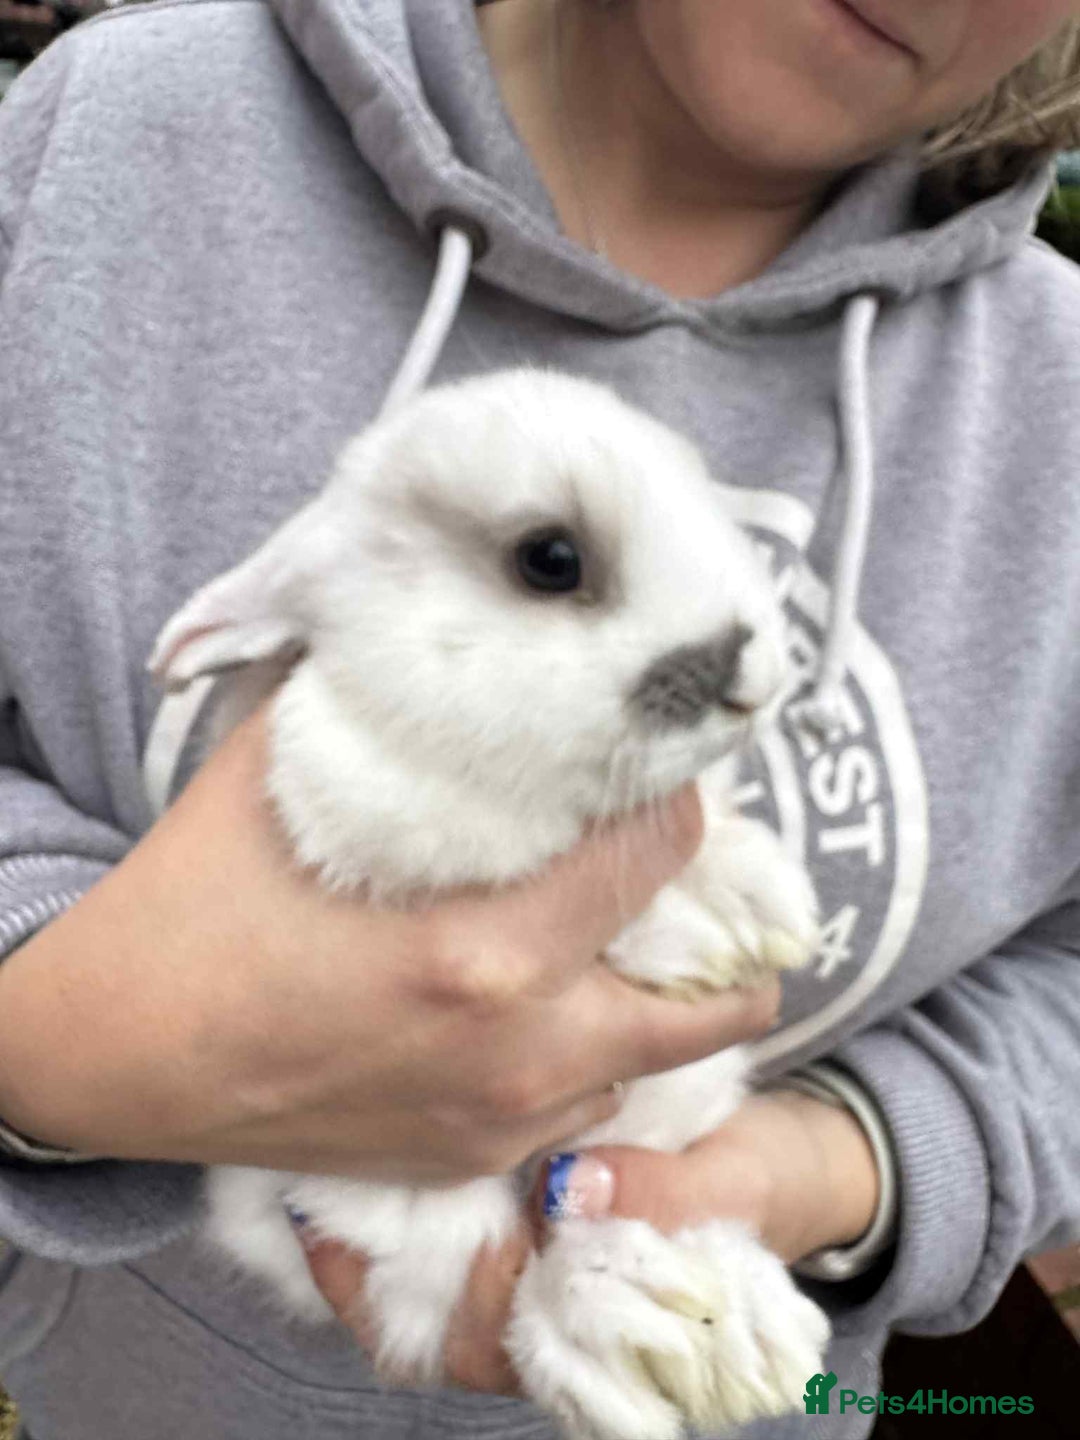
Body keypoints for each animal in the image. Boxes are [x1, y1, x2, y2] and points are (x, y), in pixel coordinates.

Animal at [148, 368, 829, 1440]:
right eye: (550, 559)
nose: (751, 679)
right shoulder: (385, 813)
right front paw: (715, 934)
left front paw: (755, 909)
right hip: (375, 1197)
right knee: (495, 1277)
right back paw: (649, 1328)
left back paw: (739, 1330)